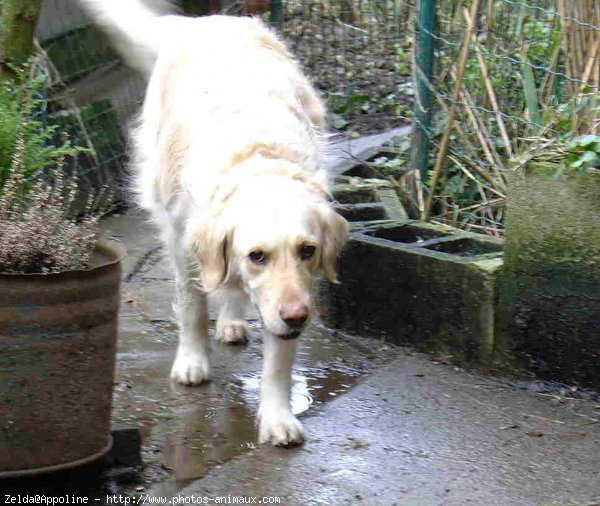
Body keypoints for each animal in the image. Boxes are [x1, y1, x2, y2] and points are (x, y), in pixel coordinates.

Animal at [81, 0, 352, 444]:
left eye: (307, 250)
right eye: (257, 255)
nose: (298, 316)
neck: (256, 159)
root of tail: (207, 21)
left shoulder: (290, 294)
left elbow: (277, 358)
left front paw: (276, 415)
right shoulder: (182, 242)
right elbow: (193, 306)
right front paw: (192, 361)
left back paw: (231, 320)